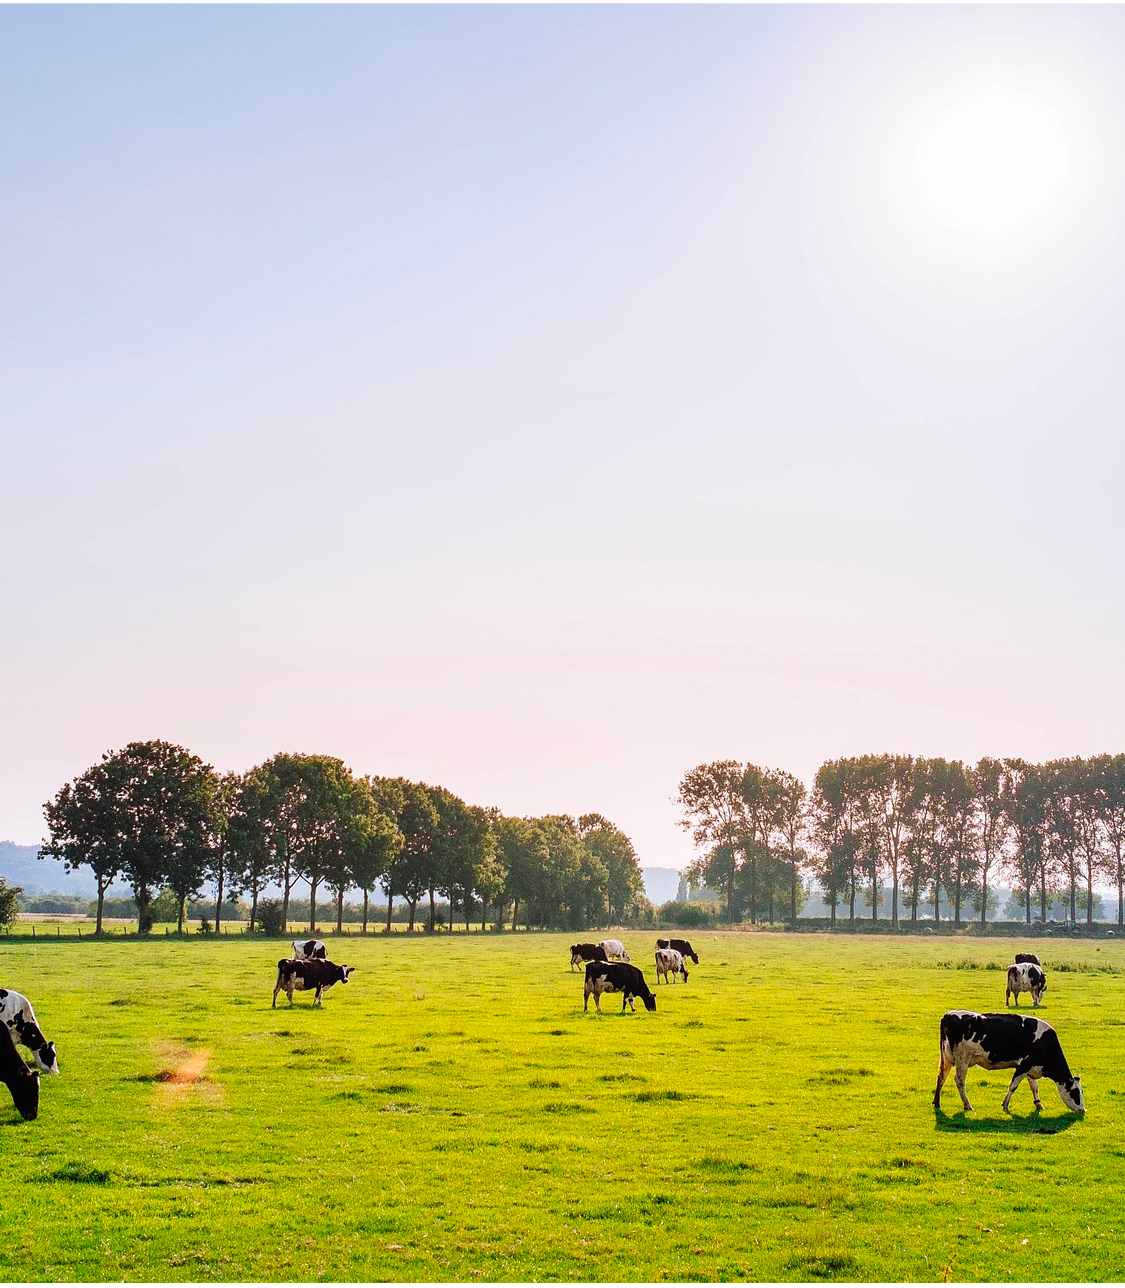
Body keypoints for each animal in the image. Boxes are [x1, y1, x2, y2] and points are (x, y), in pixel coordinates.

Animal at [932, 1009, 1077, 1112]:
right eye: (1075, 1092)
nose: (1081, 1110)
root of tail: (948, 1015)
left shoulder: (1031, 1067)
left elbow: (1034, 1087)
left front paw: (1039, 1105)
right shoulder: (1023, 1066)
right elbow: (1013, 1086)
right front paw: (1005, 1105)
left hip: (947, 1058)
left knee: (941, 1077)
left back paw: (937, 1103)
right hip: (962, 1059)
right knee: (960, 1081)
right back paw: (968, 1105)